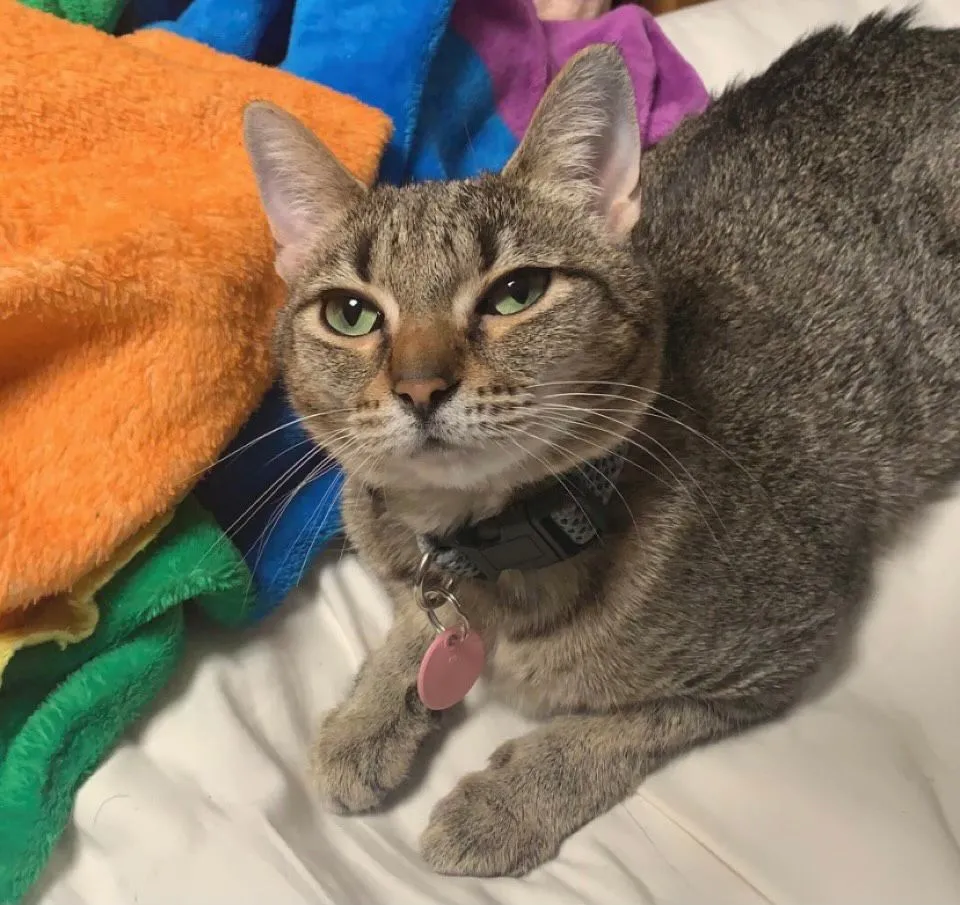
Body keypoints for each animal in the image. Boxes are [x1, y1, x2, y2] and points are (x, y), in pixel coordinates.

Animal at [240, 12, 960, 876]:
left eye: (516, 293)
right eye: (350, 313)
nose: (419, 386)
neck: (489, 544)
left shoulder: (782, 645)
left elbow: (614, 728)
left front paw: (504, 802)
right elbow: (420, 623)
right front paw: (367, 716)